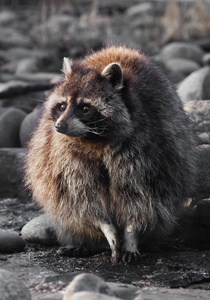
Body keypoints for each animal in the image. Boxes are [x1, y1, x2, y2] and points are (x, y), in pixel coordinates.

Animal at [25, 45, 197, 262]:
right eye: (62, 106)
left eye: (85, 107)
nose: (60, 126)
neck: (94, 138)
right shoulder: (63, 155)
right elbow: (81, 196)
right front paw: (106, 227)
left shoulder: (149, 149)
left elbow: (142, 195)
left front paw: (131, 234)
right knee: (66, 206)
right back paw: (83, 243)